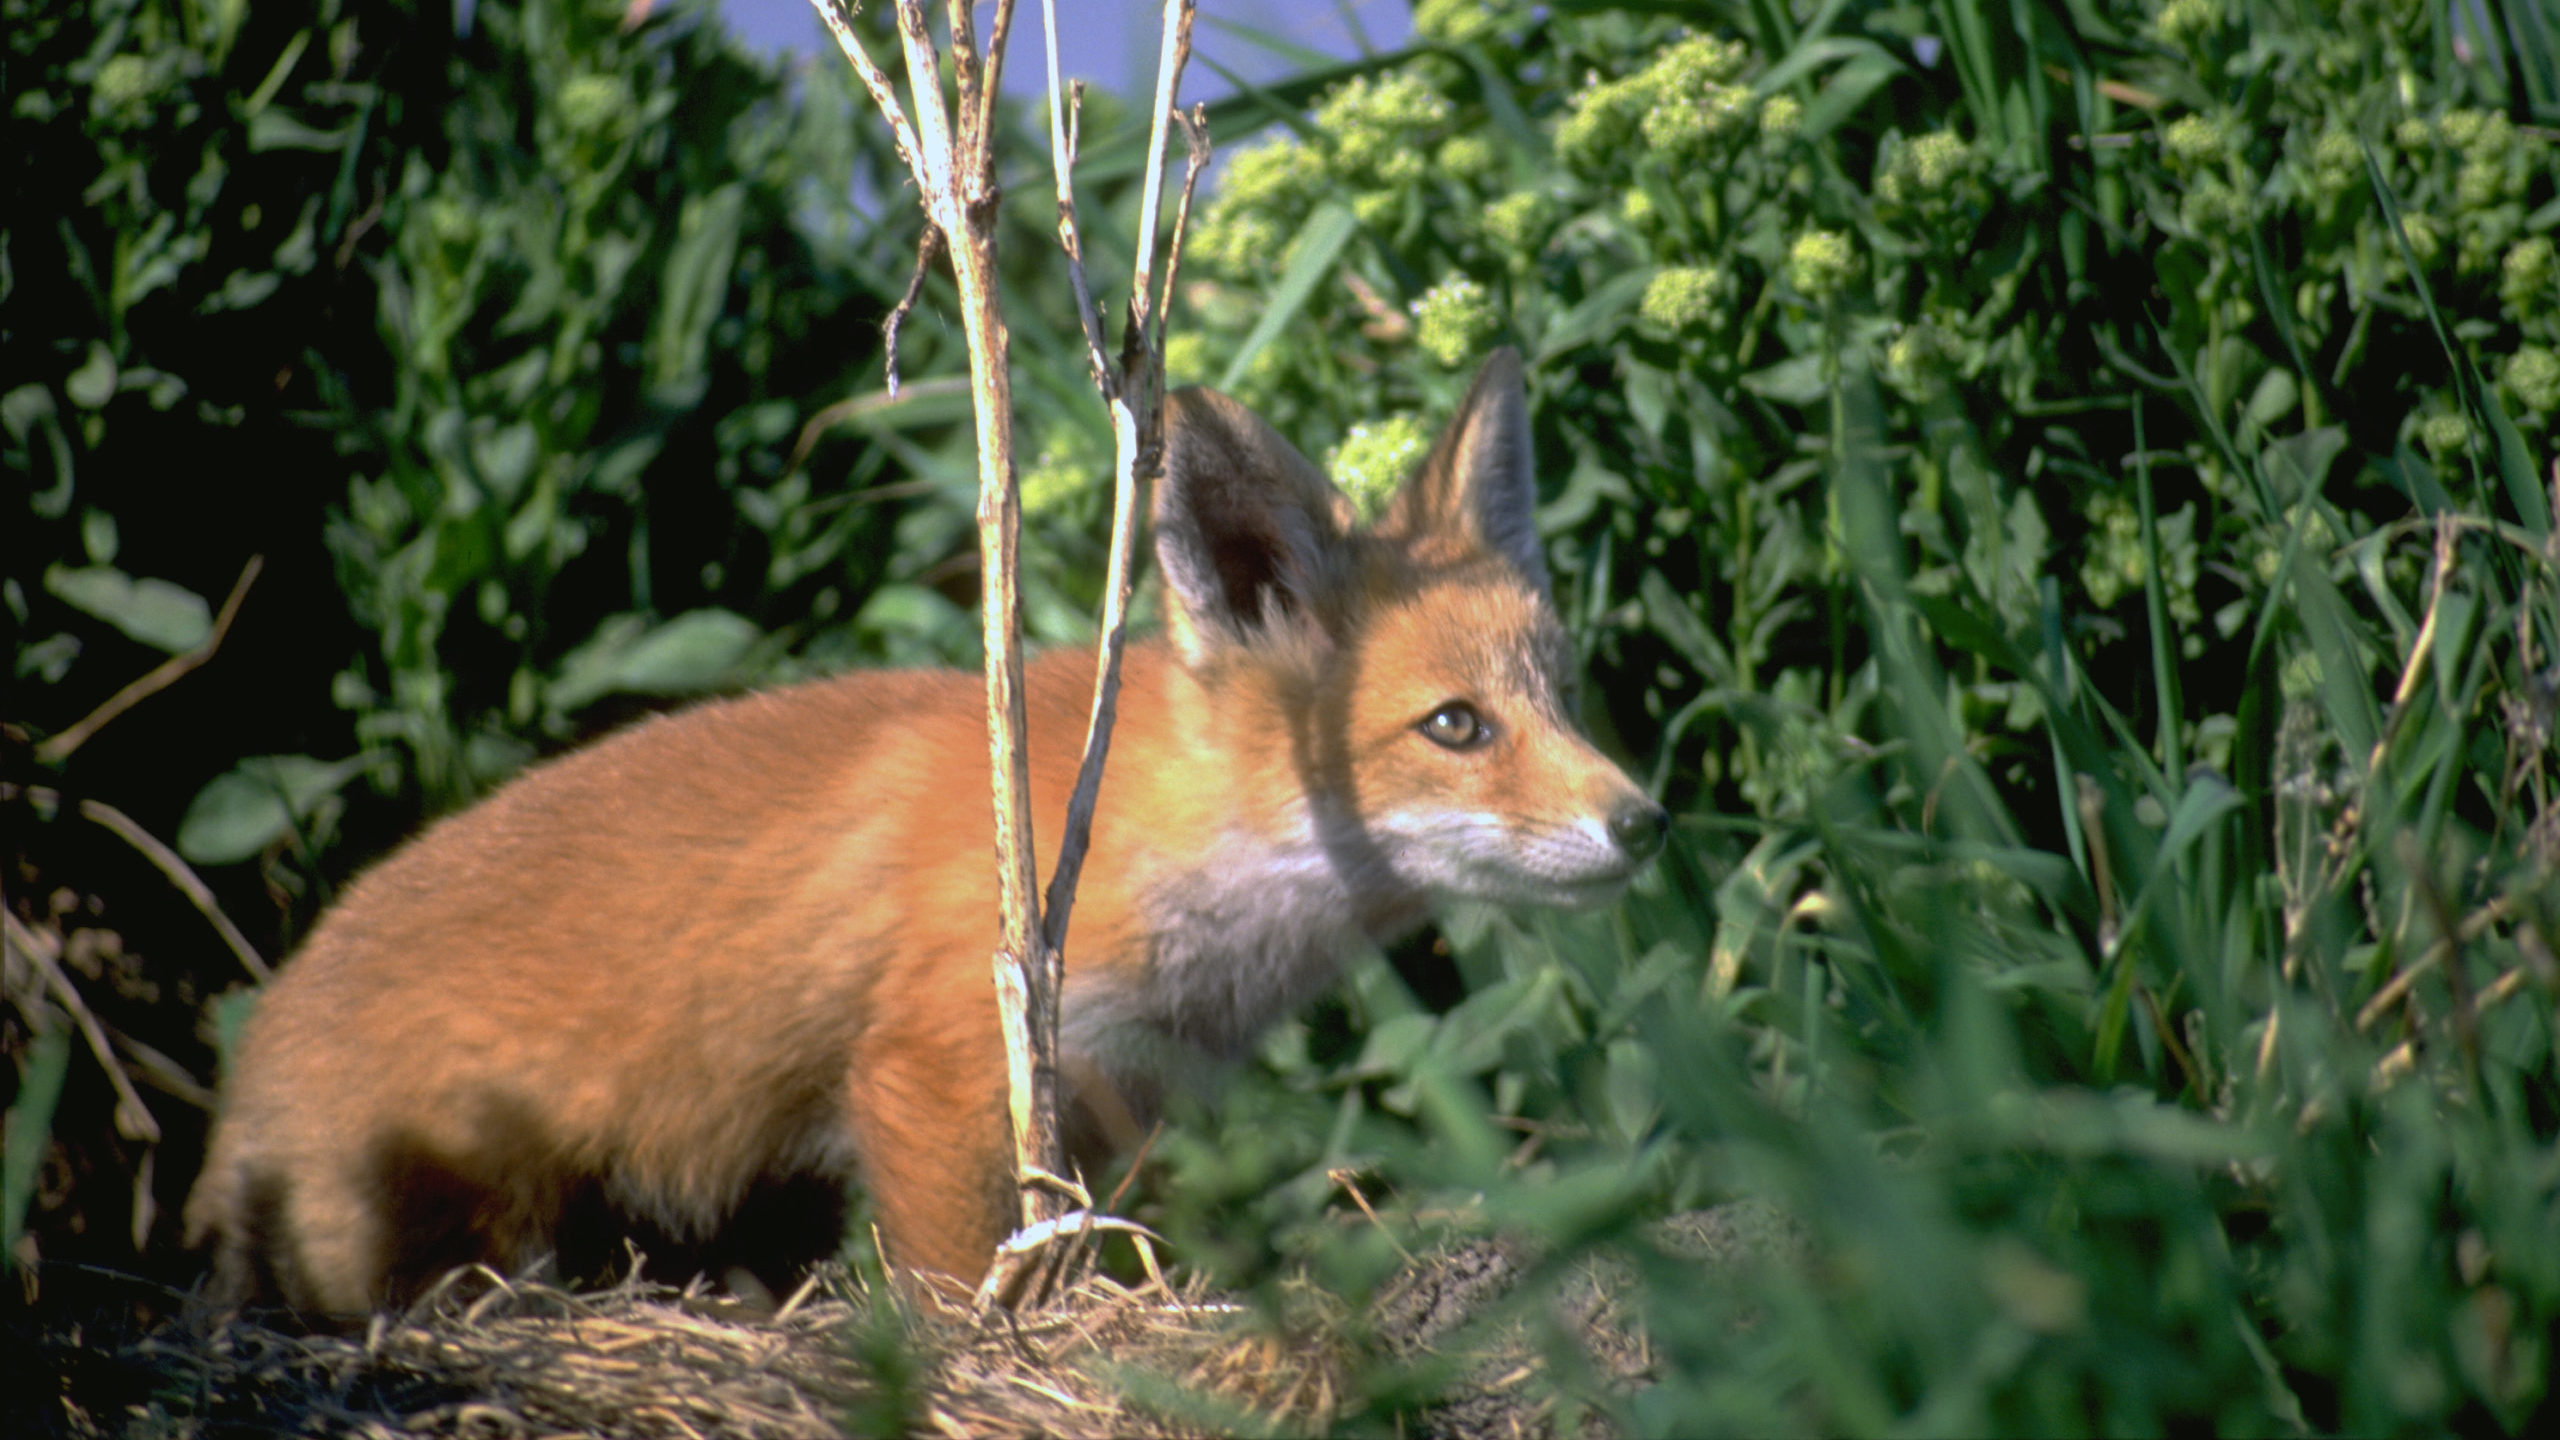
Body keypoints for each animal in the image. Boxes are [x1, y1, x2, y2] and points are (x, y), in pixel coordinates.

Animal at [184, 349, 1669, 1312]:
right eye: (1456, 727)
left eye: (1563, 694)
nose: (1645, 823)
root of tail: (240, 1073)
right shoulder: (940, 1064)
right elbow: (966, 1290)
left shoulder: (1114, 1103)